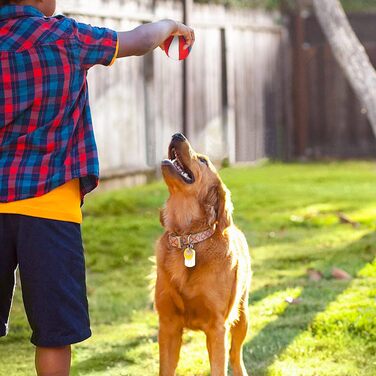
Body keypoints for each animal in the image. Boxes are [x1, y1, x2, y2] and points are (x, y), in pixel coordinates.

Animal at [154, 134, 251, 374]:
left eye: (203, 161)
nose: (177, 134)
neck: (188, 238)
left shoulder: (217, 327)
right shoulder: (168, 325)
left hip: (242, 316)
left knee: (235, 354)